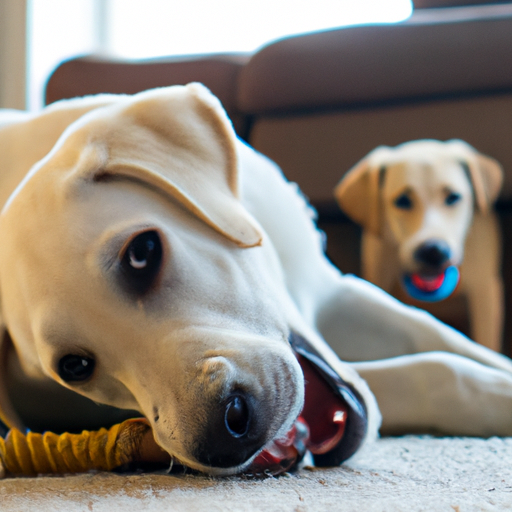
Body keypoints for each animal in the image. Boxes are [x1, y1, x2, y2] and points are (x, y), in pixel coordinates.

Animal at [334, 142, 502, 354]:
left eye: (453, 197)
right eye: (402, 201)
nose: (433, 251)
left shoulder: (484, 292)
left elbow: (486, 342)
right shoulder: (379, 278)